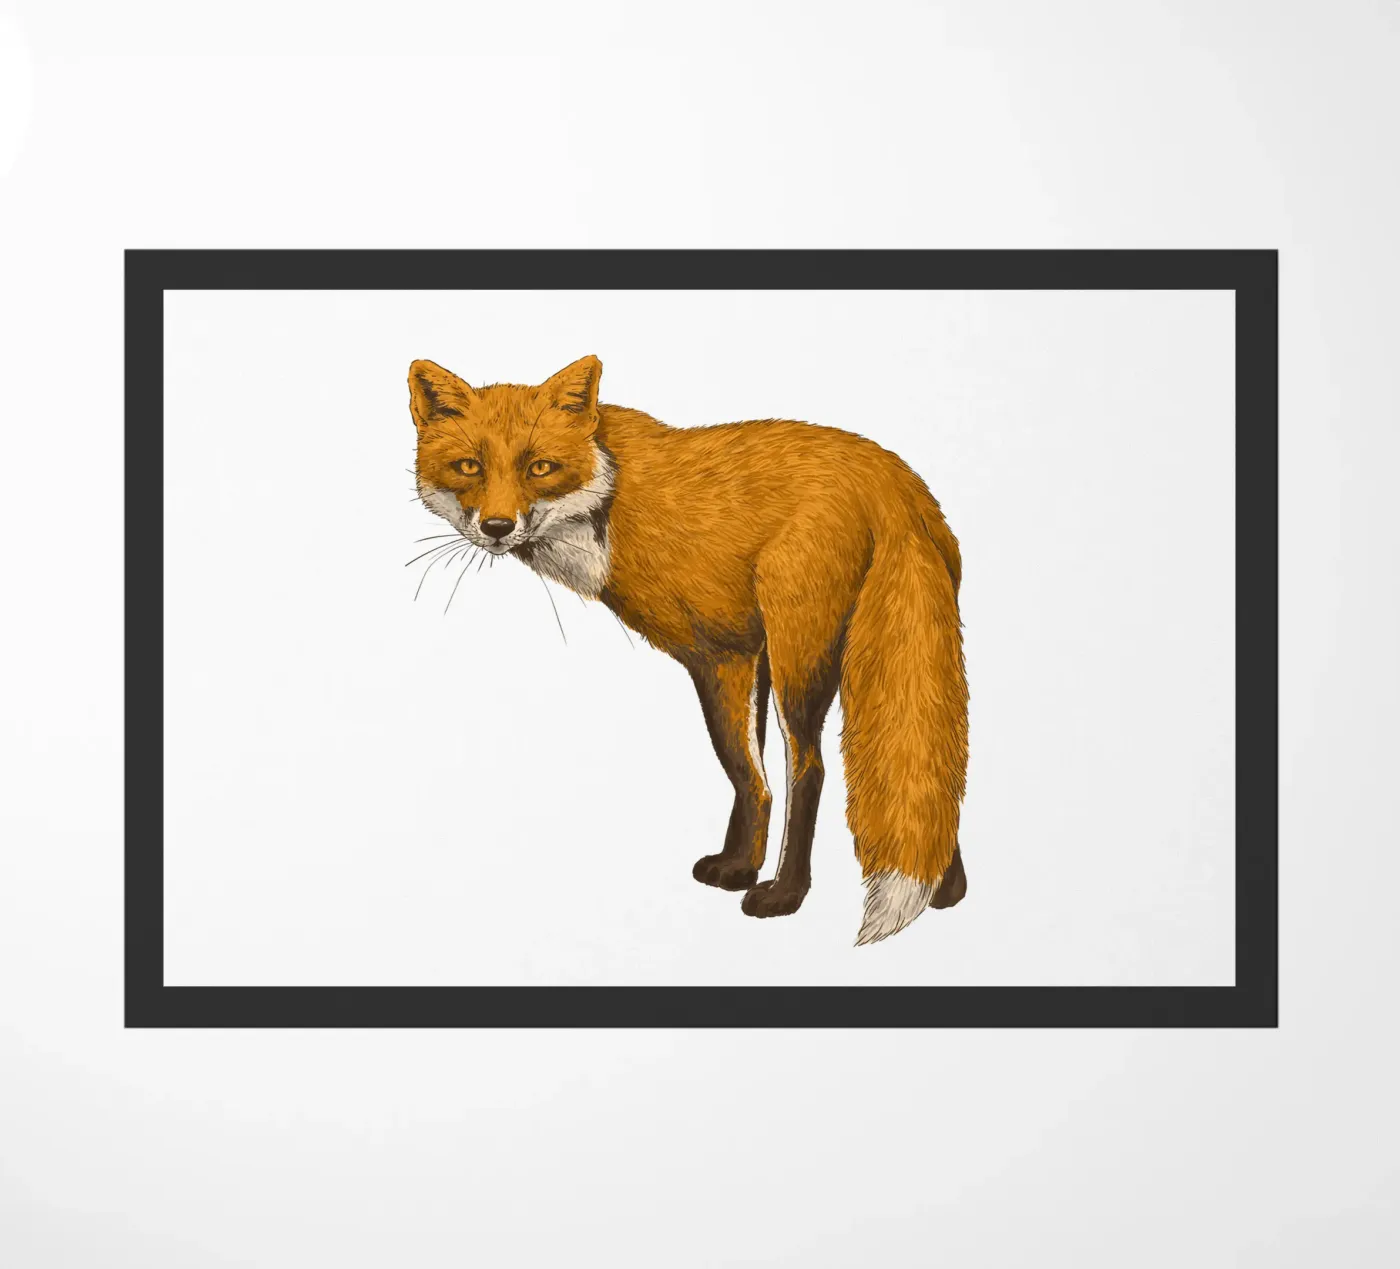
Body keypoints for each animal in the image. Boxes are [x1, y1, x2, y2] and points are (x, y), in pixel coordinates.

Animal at [408, 355, 969, 944]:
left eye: (540, 467)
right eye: (469, 466)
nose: (497, 527)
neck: (610, 502)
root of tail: (898, 482)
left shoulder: (721, 654)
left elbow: (749, 770)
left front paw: (756, 879)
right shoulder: (749, 653)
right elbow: (750, 778)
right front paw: (739, 864)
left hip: (801, 662)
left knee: (811, 768)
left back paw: (787, 893)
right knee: (937, 768)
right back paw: (946, 890)